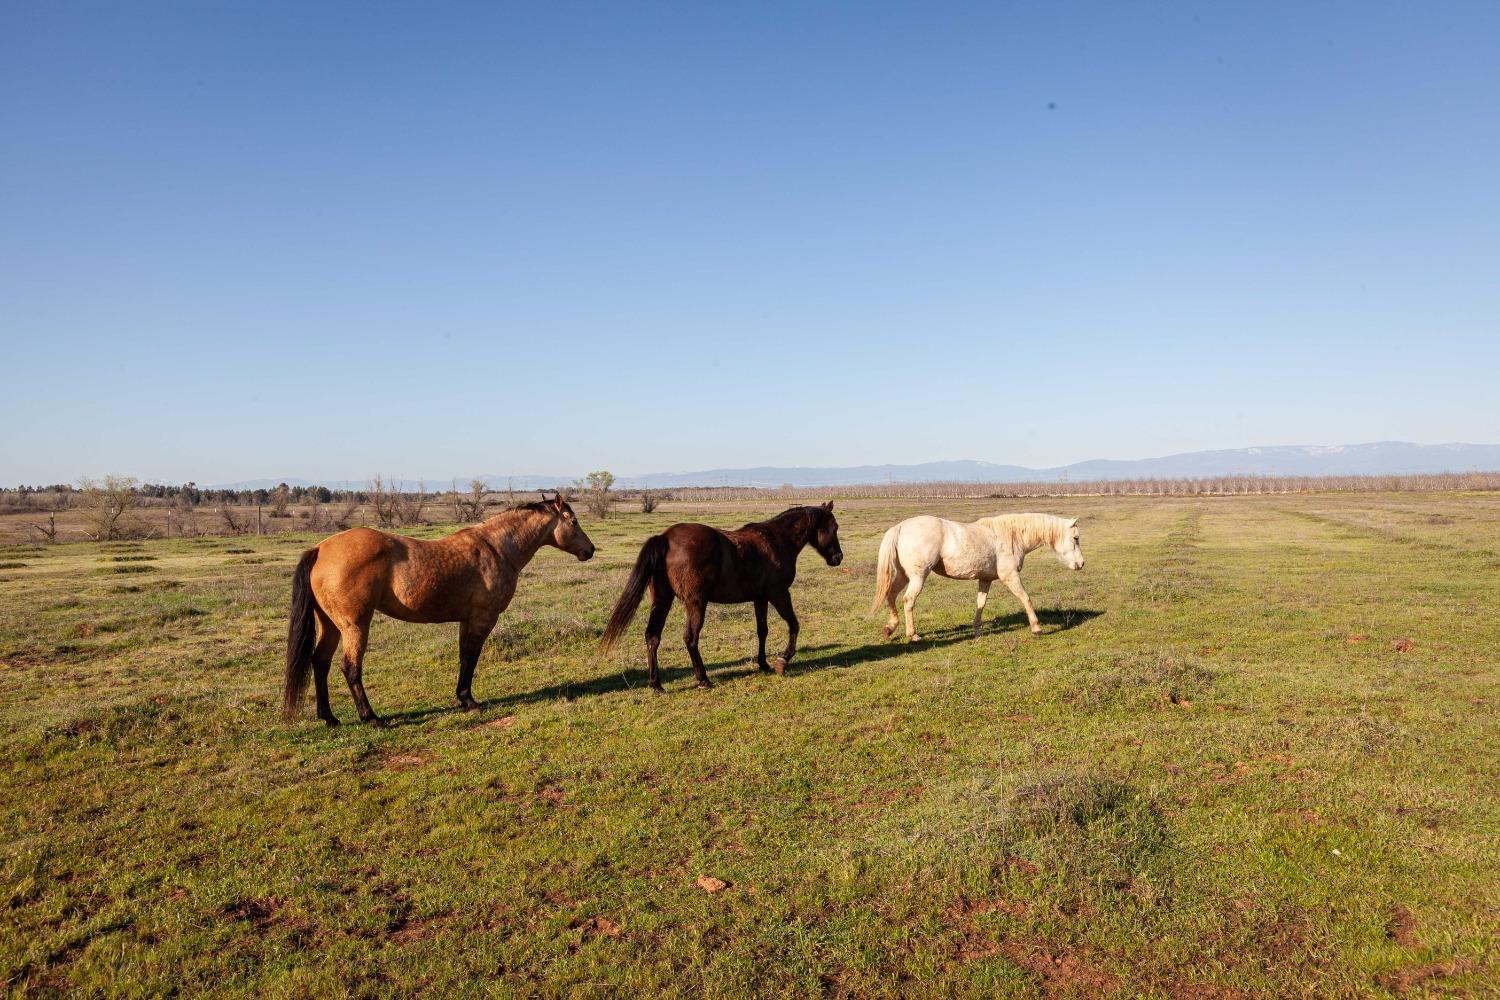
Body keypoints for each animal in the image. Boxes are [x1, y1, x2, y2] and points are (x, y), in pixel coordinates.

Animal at [283, 494, 594, 722]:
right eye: (573, 521)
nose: (590, 550)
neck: (497, 549)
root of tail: (320, 549)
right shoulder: (482, 618)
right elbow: (471, 658)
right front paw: (469, 701)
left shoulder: (467, 620)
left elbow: (464, 657)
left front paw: (463, 698)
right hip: (355, 625)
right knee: (350, 667)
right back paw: (371, 717)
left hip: (330, 625)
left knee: (320, 662)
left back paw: (329, 717)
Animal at [600, 503, 846, 692]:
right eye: (834, 527)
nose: (838, 557)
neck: (776, 541)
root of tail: (665, 538)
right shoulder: (779, 594)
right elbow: (794, 625)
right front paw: (782, 661)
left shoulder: (760, 598)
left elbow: (762, 631)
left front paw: (763, 664)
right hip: (696, 604)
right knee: (690, 638)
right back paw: (703, 679)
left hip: (662, 601)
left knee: (652, 636)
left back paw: (656, 684)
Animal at [876, 515, 1086, 641]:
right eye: (1075, 538)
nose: (1081, 563)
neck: (1012, 537)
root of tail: (900, 527)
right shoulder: (1010, 576)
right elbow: (1026, 598)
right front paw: (1037, 628)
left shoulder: (985, 580)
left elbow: (980, 604)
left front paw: (977, 630)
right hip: (918, 576)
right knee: (908, 600)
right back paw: (913, 635)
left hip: (904, 575)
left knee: (891, 595)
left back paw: (889, 628)